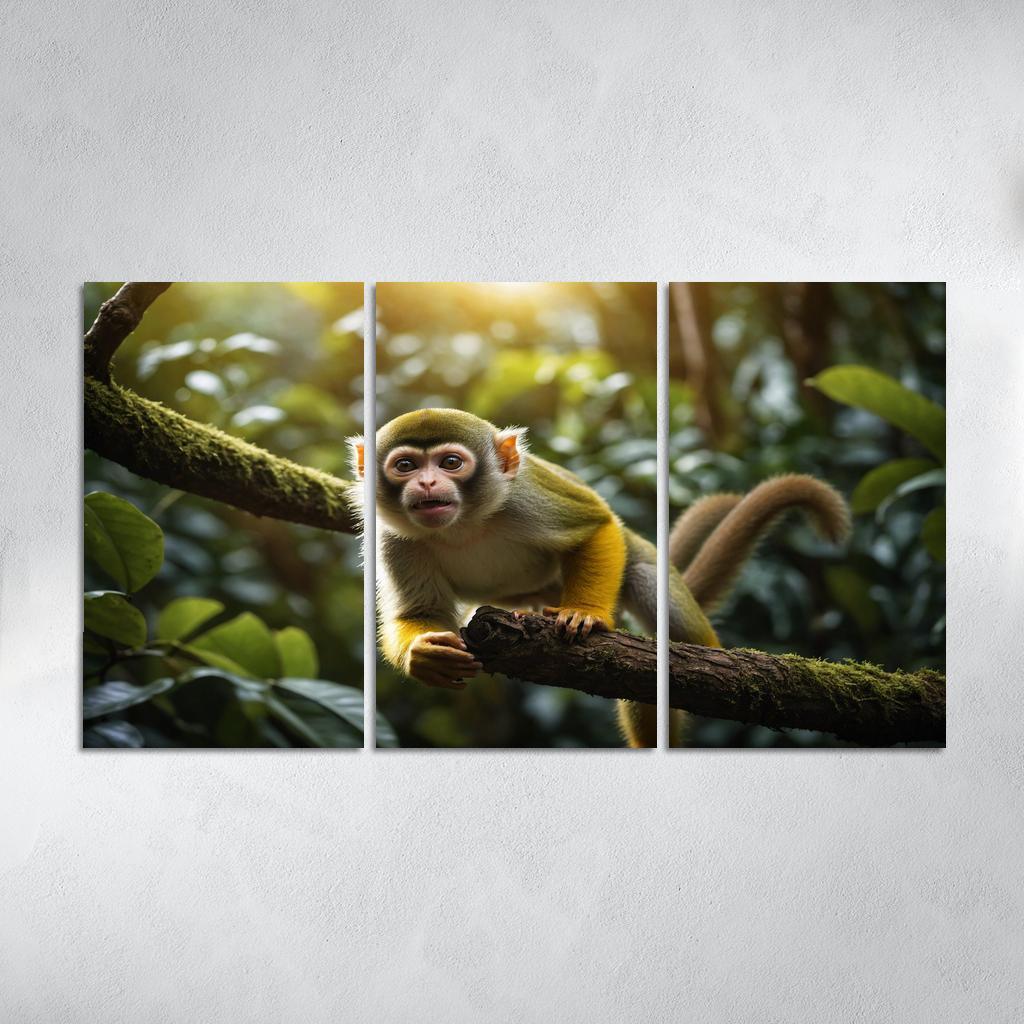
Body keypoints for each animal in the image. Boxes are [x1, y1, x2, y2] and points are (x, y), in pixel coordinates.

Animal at [351, 408, 849, 748]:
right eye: (406, 467)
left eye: (450, 463)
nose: (427, 485)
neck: (465, 524)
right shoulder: (393, 536)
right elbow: (421, 611)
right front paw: (426, 655)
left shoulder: (526, 497)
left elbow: (597, 526)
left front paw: (583, 613)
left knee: (647, 586)